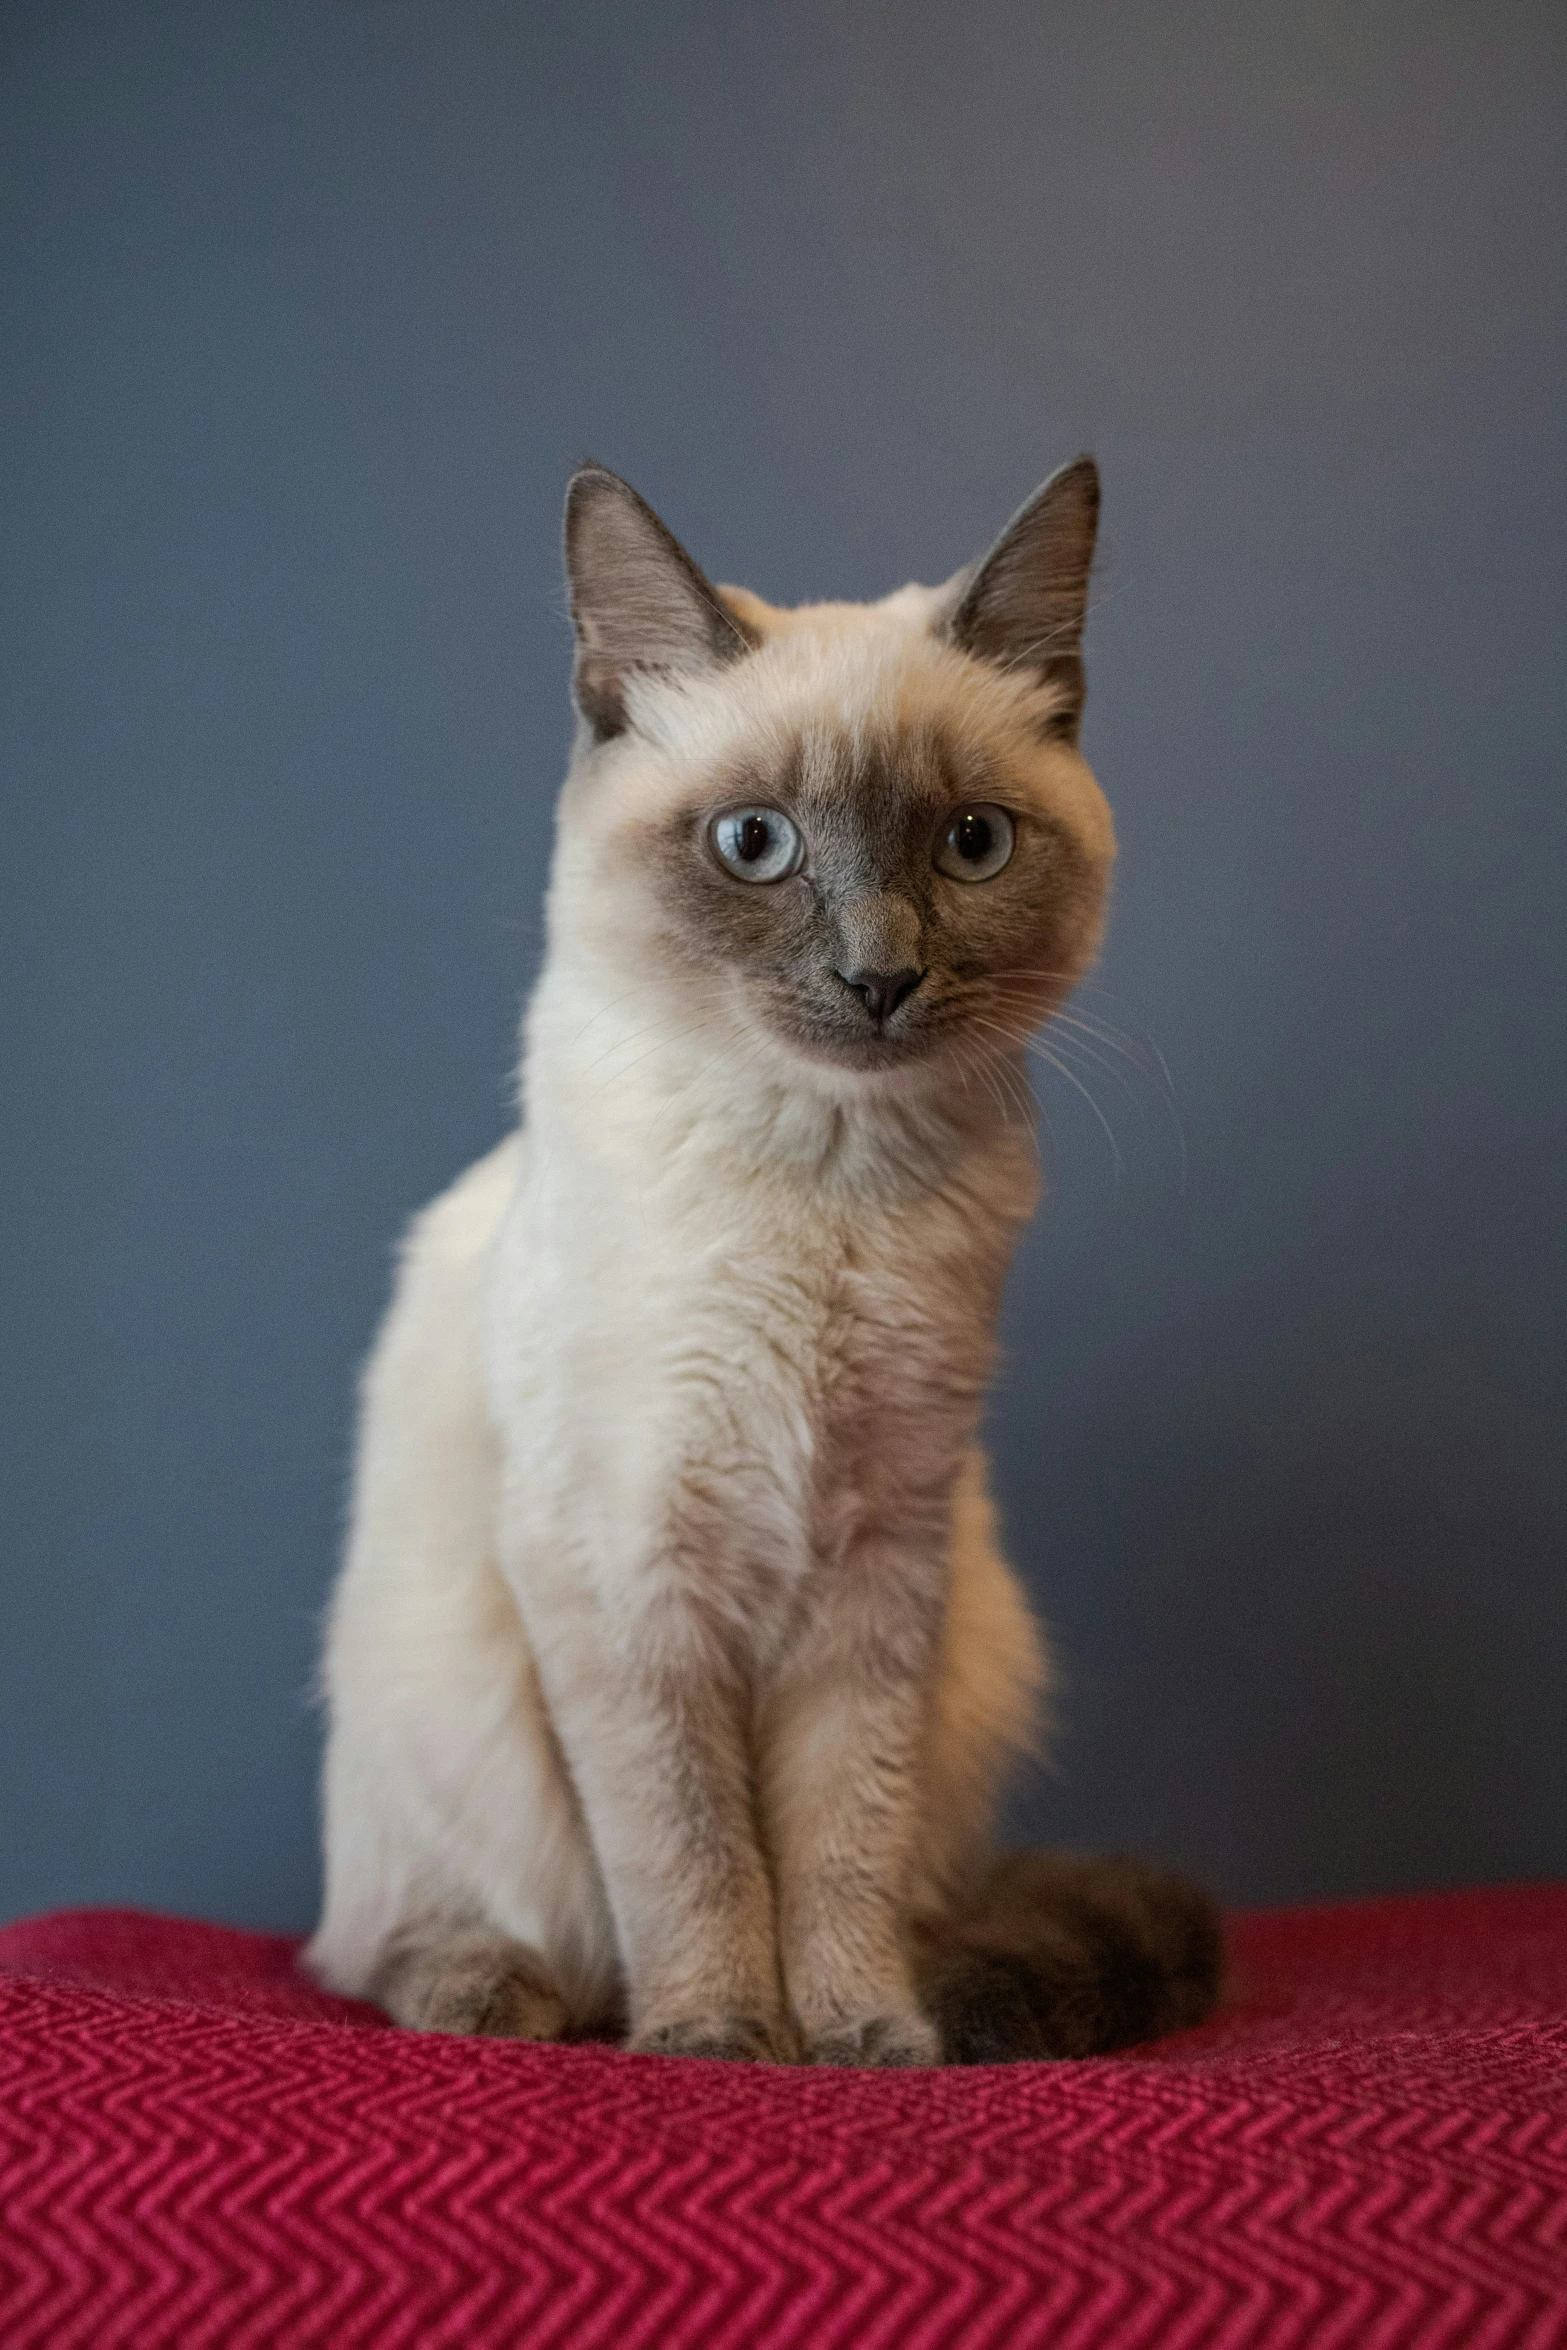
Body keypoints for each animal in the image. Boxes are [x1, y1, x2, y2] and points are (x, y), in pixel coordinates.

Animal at [300, 453, 1221, 2058]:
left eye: (970, 842)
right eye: (755, 845)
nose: (878, 978)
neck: (829, 1186)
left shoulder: (881, 1563)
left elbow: (837, 1840)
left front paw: (861, 2036)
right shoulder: (628, 1567)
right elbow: (691, 1845)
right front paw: (719, 2037)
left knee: (917, 1886)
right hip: (438, 1704)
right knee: (383, 1943)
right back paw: (506, 1997)